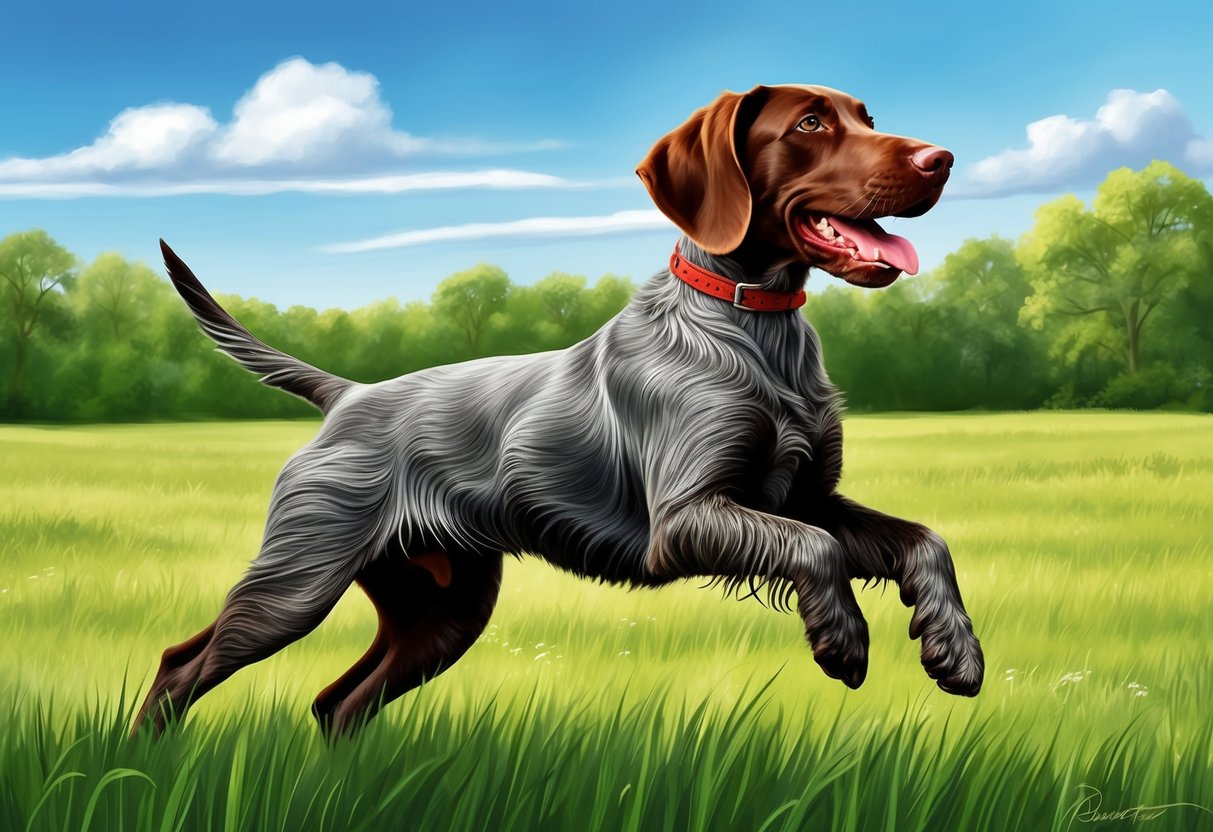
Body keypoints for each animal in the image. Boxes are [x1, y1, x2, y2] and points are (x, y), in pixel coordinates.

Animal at [132, 83, 984, 737]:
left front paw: (954, 650)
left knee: (336, 704)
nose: (940, 160)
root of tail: (349, 395)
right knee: (181, 666)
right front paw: (842, 640)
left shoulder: (808, 496)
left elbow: (921, 540)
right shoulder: (686, 517)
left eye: (867, 115)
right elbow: (818, 549)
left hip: (443, 610)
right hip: (300, 578)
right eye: (810, 124)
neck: (752, 327)